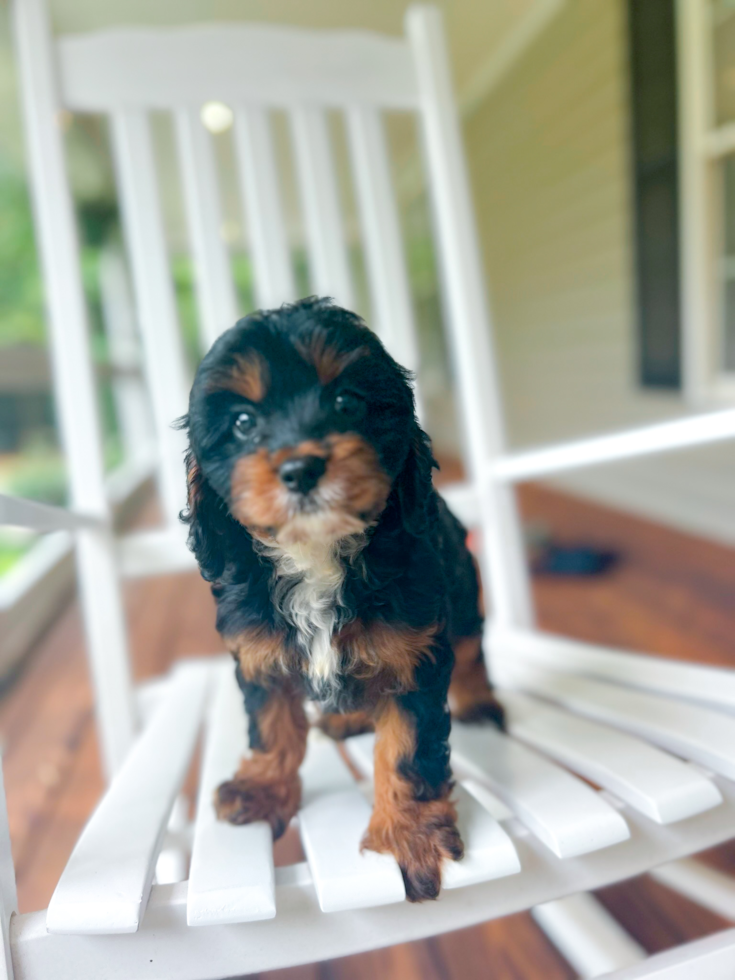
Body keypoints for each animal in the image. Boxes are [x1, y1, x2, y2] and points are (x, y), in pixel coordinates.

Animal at [181, 294, 506, 900]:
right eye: (243, 422)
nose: (301, 467)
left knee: (473, 650)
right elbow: (273, 727)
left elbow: (406, 750)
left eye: (347, 402)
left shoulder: (415, 656)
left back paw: (477, 700)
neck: (316, 555)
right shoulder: (258, 654)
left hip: (466, 596)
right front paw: (263, 788)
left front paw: (409, 834)